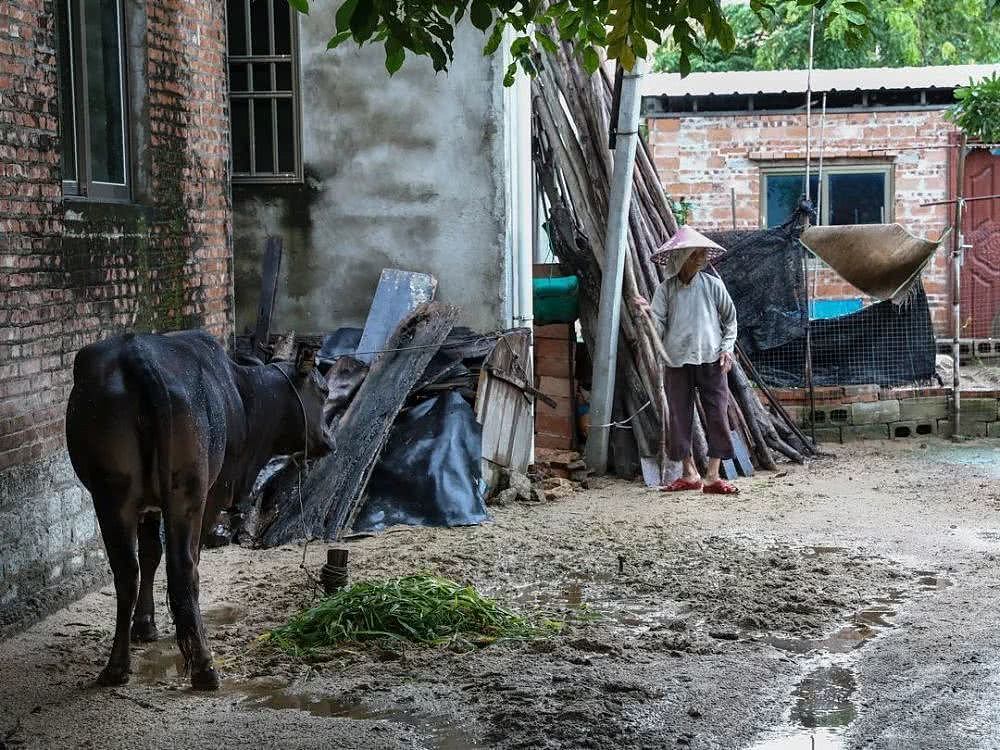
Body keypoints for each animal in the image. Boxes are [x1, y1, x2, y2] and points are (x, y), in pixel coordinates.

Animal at [68, 332, 326, 692]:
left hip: (112, 495)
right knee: (184, 567)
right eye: (324, 391)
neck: (243, 396)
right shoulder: (216, 492)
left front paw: (144, 624)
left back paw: (117, 667)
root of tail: (138, 354)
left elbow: (150, 553)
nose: (329, 441)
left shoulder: (149, 506)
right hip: (188, 493)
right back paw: (204, 666)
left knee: (127, 572)